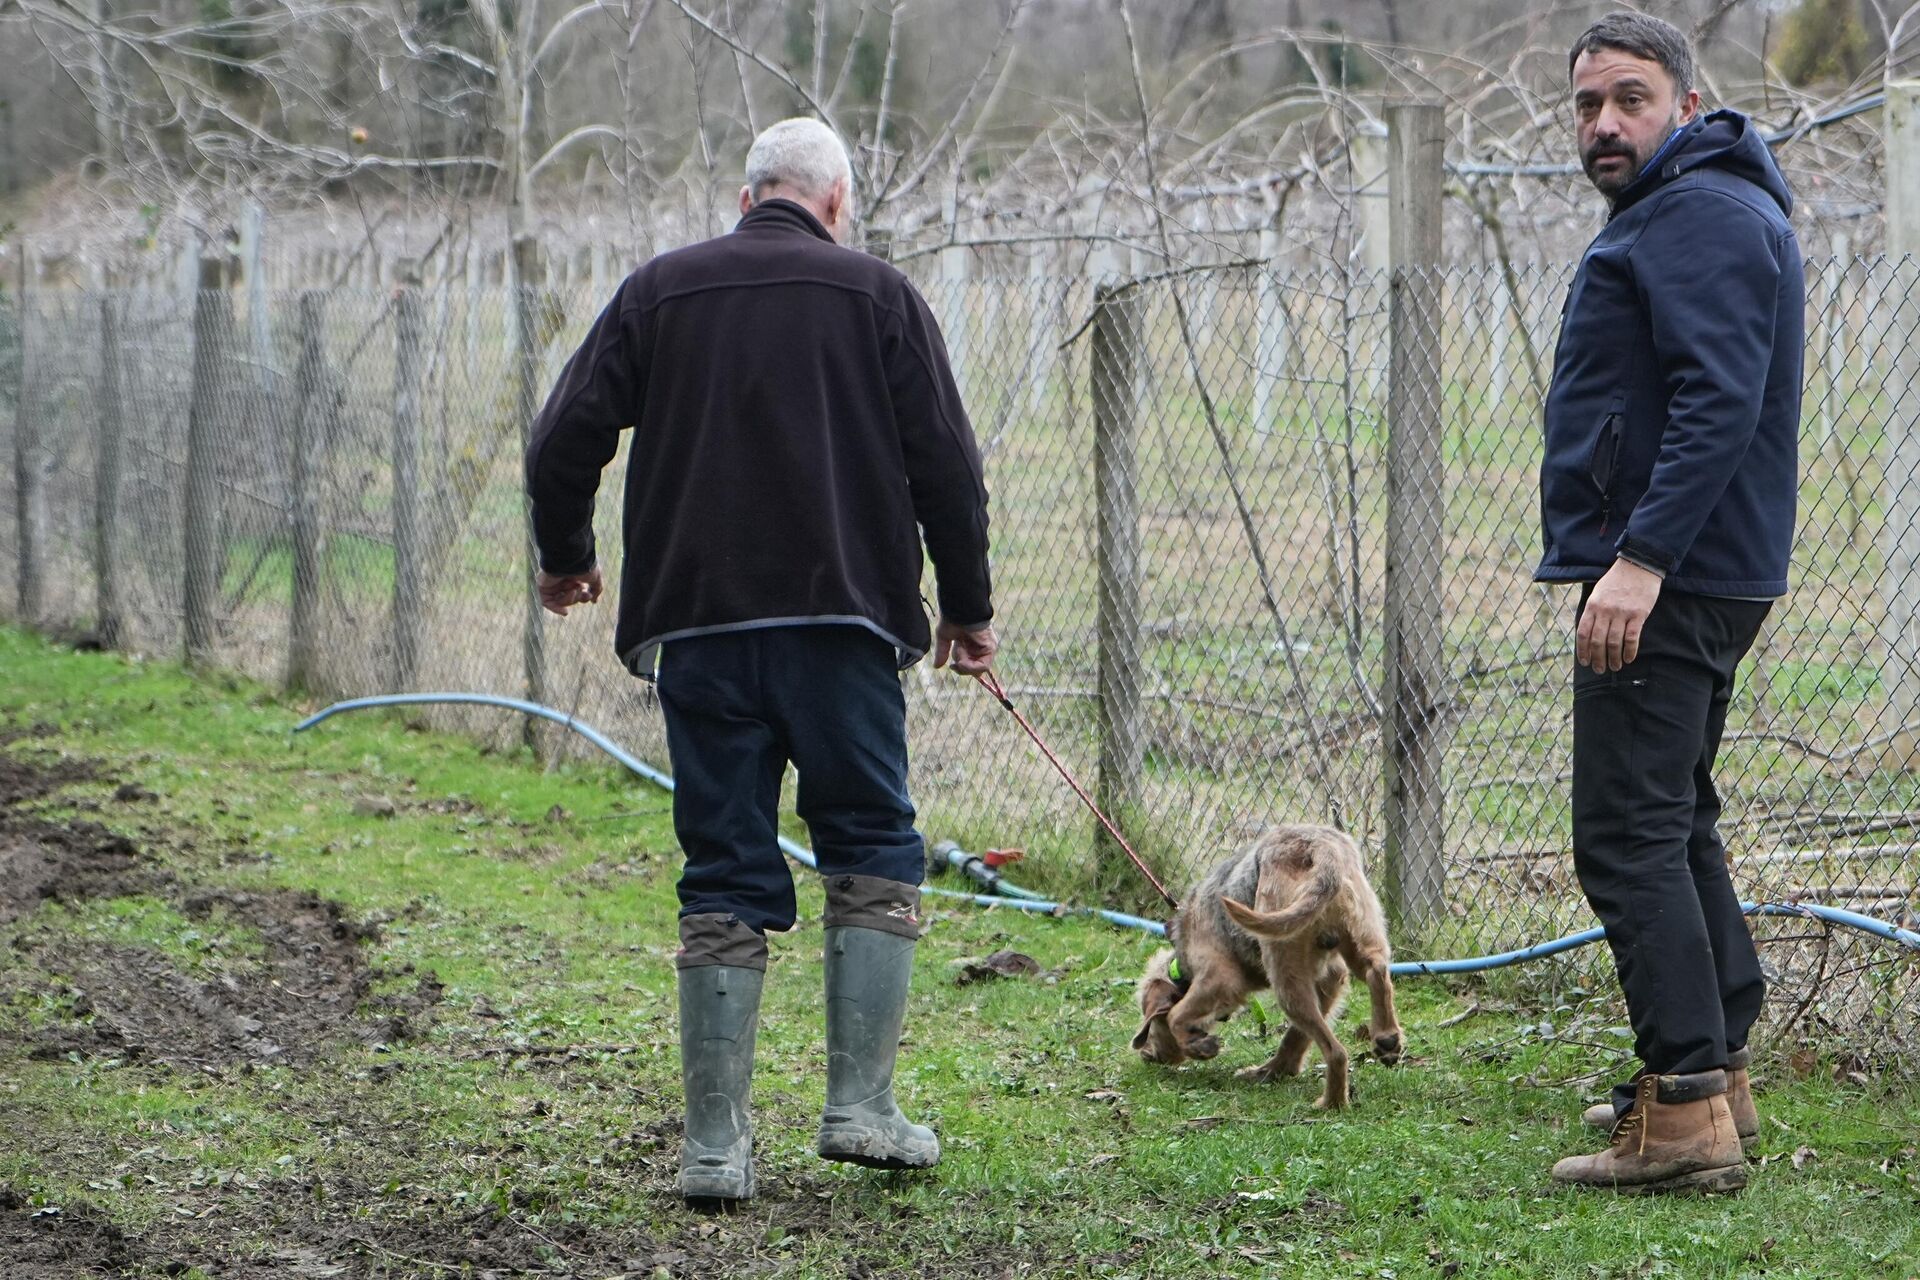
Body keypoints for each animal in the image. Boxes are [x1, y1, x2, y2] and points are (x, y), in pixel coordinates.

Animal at [1128, 825, 1405, 1105]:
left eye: (1152, 1024)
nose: (1146, 1056)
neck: (1182, 966)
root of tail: (1319, 846)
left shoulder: (1218, 980)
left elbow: (1176, 1014)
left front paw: (1200, 1046)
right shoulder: (1331, 979)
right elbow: (1295, 1036)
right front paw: (1277, 1070)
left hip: (1285, 978)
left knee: (1336, 1052)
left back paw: (1331, 1103)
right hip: (1361, 934)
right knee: (1376, 972)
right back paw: (1386, 1037)